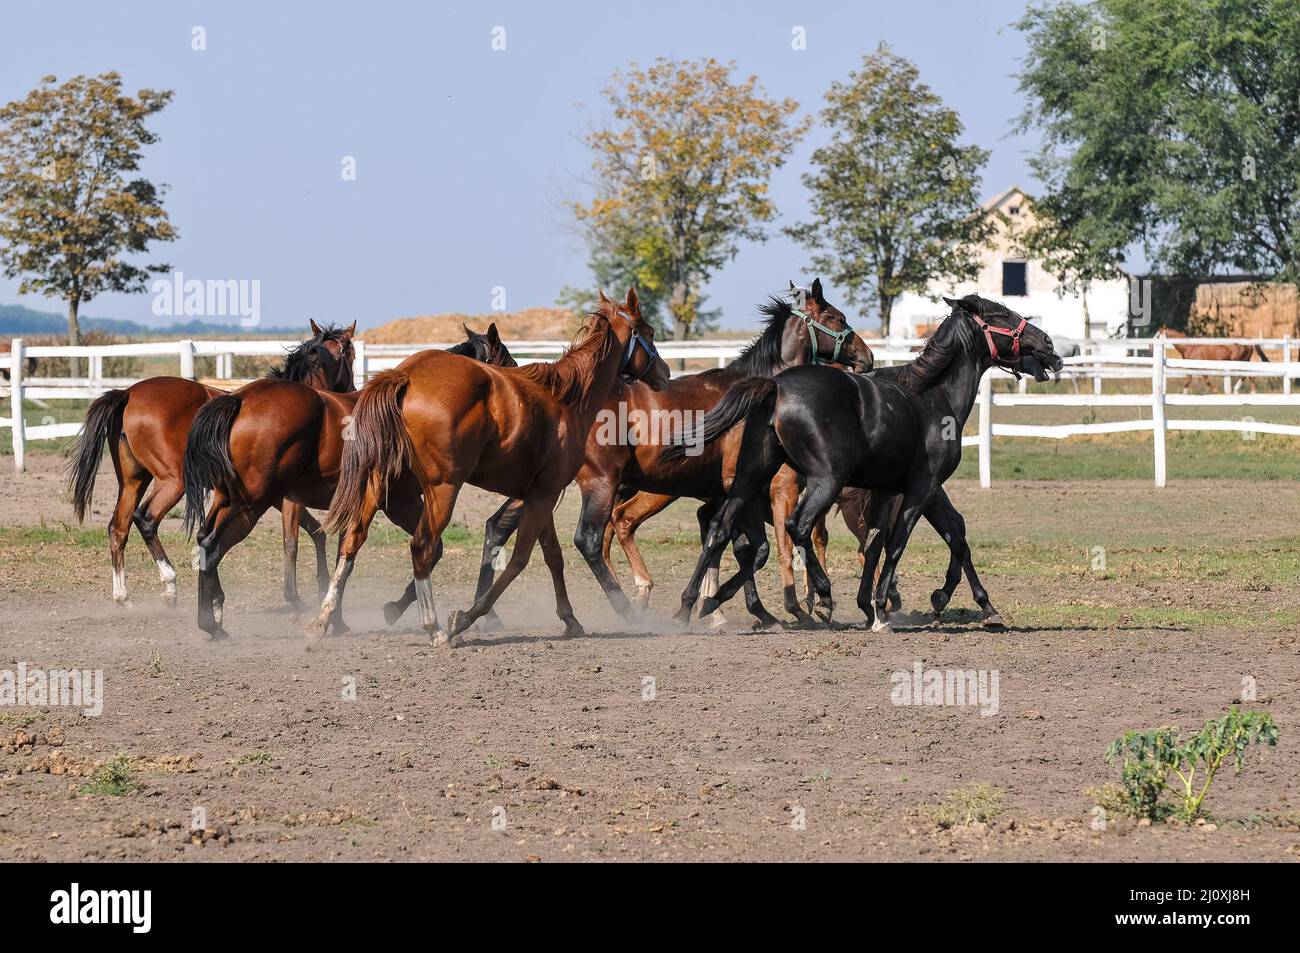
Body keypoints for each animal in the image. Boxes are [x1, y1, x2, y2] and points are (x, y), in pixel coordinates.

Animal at [66, 320, 354, 609]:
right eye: (350, 354)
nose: (351, 391)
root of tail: (127, 393)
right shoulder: (280, 498)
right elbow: (294, 540)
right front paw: (297, 595)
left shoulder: (261, 496)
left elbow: (314, 531)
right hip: (173, 482)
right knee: (145, 519)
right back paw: (169, 584)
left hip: (132, 481)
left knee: (119, 528)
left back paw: (123, 596)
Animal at [182, 323, 513, 640]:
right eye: (505, 362)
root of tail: (238, 398)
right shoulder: (396, 502)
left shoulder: (383, 503)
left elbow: (348, 552)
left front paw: (339, 618)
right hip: (251, 502)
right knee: (212, 546)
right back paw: (211, 624)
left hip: (229, 498)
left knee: (204, 540)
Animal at [312, 289, 670, 646]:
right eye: (649, 332)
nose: (665, 372)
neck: (567, 400)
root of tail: (406, 375)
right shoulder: (543, 496)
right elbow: (519, 560)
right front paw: (465, 617)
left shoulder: (541, 494)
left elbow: (553, 556)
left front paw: (570, 618)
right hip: (442, 490)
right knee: (422, 546)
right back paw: (434, 627)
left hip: (381, 484)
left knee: (352, 541)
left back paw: (322, 620)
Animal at [472, 278, 874, 629]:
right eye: (837, 318)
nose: (867, 356)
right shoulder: (759, 489)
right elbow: (764, 547)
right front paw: (796, 605)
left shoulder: (735, 495)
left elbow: (744, 547)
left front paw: (746, 608)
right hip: (603, 484)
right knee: (591, 537)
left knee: (505, 528)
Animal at [668, 294, 1063, 632]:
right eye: (1001, 314)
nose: (1048, 345)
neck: (934, 397)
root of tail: (776, 386)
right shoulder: (922, 488)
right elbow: (900, 542)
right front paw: (882, 609)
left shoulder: (895, 491)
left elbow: (897, 540)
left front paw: (971, 604)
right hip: (825, 480)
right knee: (796, 527)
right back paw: (820, 595)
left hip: (750, 478)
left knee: (720, 529)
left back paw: (696, 605)